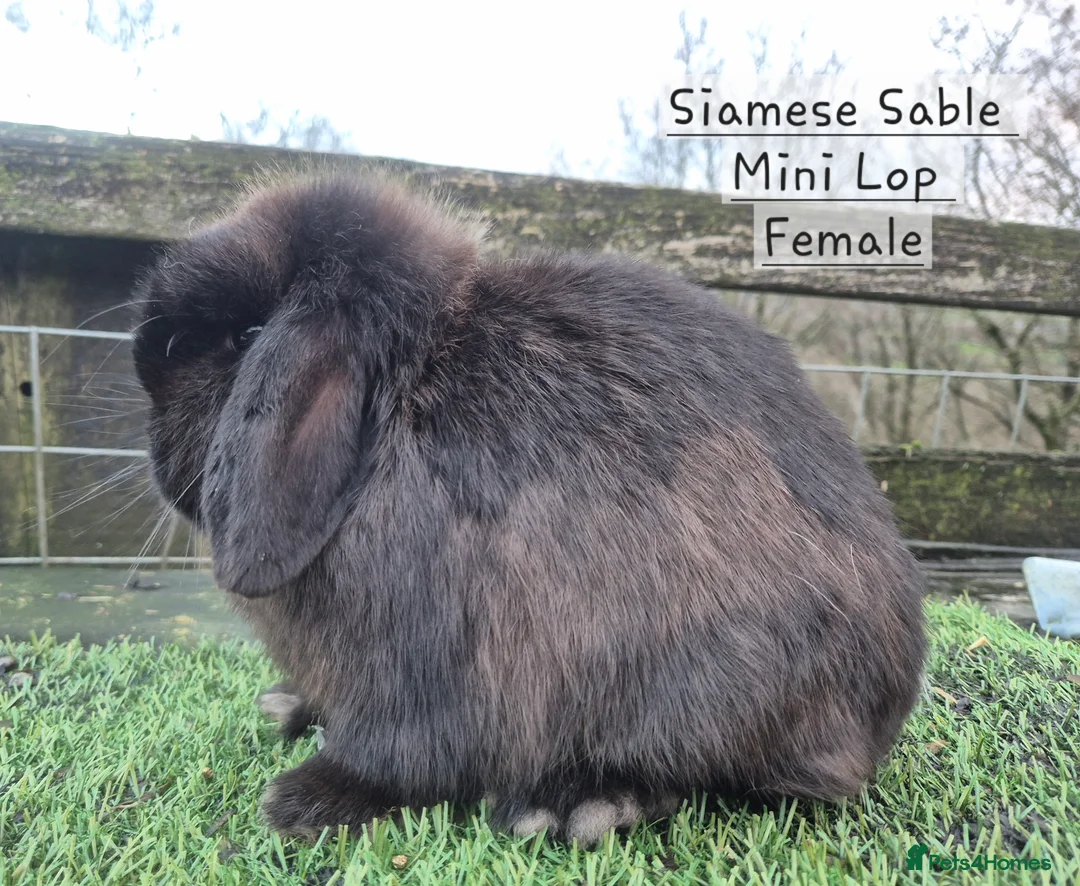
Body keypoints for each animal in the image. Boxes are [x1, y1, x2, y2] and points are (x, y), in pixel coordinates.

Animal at [131, 170, 927, 846]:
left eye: (247, 339)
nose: (160, 457)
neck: (398, 403)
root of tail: (883, 708)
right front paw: (290, 708)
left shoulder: (422, 664)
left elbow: (400, 751)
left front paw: (306, 799)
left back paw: (575, 806)